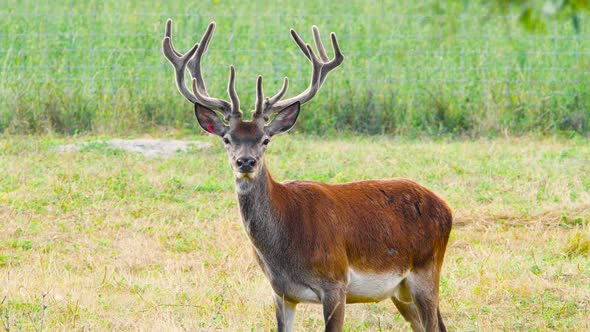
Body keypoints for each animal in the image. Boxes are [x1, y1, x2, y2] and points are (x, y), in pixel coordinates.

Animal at [162, 19, 454, 330]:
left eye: (265, 139)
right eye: (227, 139)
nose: (246, 161)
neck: (285, 249)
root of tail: (445, 207)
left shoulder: (335, 282)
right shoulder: (281, 292)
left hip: (426, 270)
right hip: (401, 291)